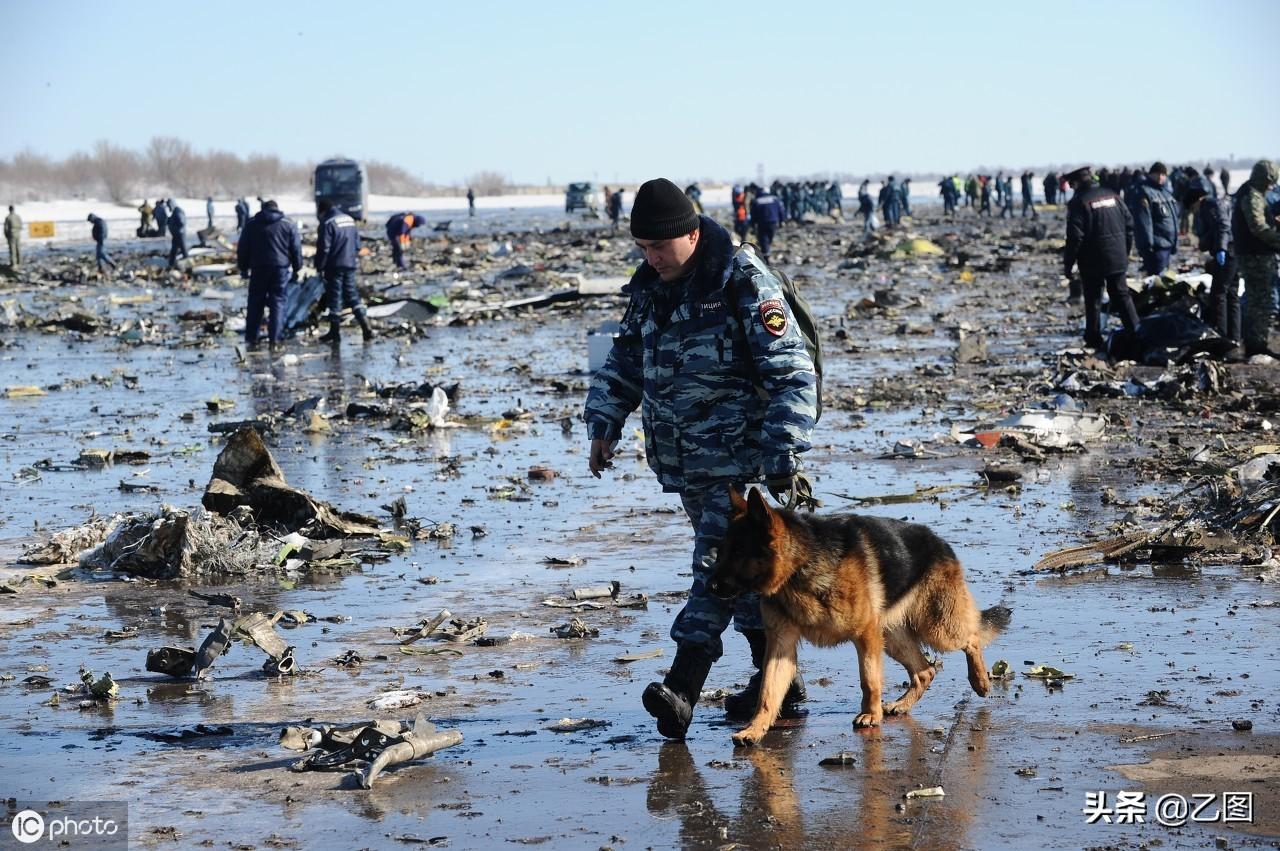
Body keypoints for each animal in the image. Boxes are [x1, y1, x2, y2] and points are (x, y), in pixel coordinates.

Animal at [701, 488, 1008, 747]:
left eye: (738, 553)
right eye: (722, 552)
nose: (708, 587)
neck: (799, 566)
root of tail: (940, 541)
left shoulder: (865, 634)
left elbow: (869, 679)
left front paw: (870, 715)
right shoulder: (780, 647)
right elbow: (767, 693)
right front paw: (754, 729)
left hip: (936, 627)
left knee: (972, 637)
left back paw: (980, 681)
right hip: (893, 638)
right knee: (925, 671)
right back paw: (901, 704)